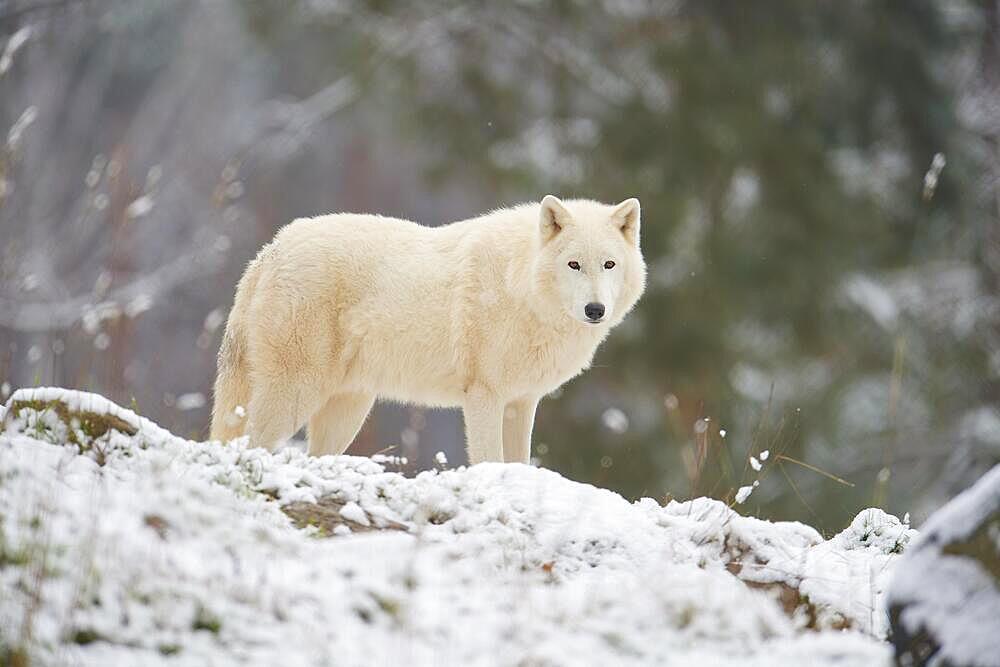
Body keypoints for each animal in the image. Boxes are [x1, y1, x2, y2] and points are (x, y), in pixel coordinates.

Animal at [211, 196, 648, 462]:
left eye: (608, 264)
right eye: (574, 264)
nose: (595, 309)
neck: (519, 285)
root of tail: (270, 250)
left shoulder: (522, 402)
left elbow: (519, 463)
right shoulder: (484, 396)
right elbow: (490, 460)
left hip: (348, 408)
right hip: (297, 394)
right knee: (250, 443)